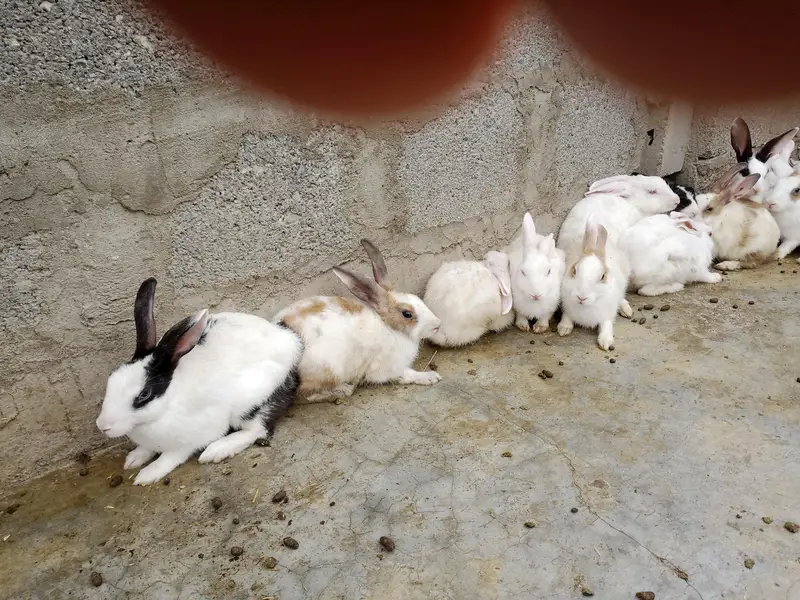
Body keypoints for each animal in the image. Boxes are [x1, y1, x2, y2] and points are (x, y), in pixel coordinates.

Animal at [95, 278, 303, 485]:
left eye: (144, 394)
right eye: (111, 377)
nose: (102, 426)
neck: (167, 403)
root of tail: (292, 343)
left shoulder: (191, 438)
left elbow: (170, 457)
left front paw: (148, 474)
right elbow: (147, 449)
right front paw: (134, 459)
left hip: (250, 402)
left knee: (258, 430)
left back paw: (217, 450)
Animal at [274, 239, 442, 402]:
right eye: (407, 314)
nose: (438, 325)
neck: (390, 328)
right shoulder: (388, 369)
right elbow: (407, 374)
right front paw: (430, 377)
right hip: (328, 369)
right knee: (304, 394)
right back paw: (344, 389)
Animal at [558, 214, 632, 351]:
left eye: (602, 276)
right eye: (574, 270)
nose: (581, 297)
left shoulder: (606, 314)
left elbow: (606, 325)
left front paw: (605, 342)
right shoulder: (567, 308)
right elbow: (567, 317)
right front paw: (563, 328)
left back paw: (627, 310)